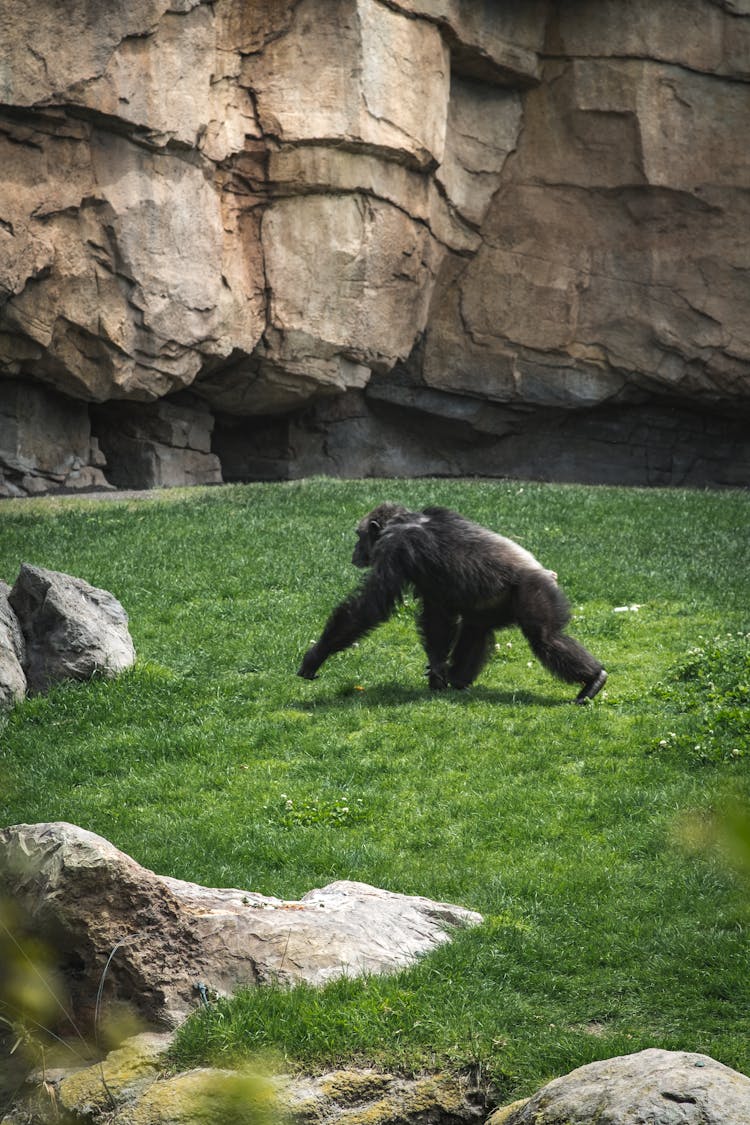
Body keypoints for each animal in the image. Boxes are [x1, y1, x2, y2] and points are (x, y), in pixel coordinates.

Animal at [296, 504, 607, 702]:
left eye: (360, 536)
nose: (355, 551)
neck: (404, 521)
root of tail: (549, 574)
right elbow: (436, 615)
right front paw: (436, 670)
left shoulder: (394, 548)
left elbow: (371, 605)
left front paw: (316, 655)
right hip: (496, 604)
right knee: (476, 629)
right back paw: (458, 679)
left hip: (534, 592)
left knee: (546, 638)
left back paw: (593, 679)